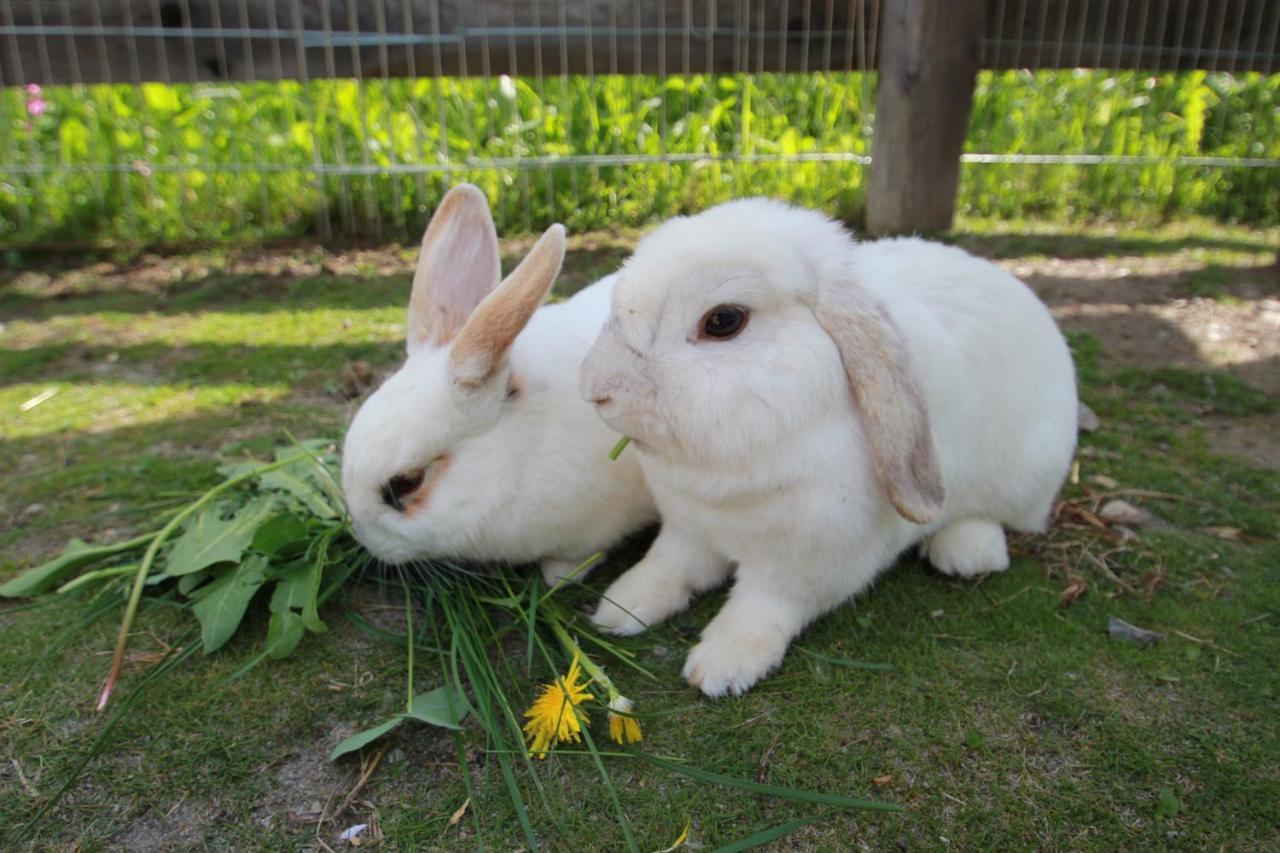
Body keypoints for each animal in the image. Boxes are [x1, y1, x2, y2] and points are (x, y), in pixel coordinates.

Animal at [586, 199, 1075, 696]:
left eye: (722, 321)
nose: (596, 389)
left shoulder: (803, 565)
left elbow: (759, 609)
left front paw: (723, 666)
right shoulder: (688, 530)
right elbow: (669, 566)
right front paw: (619, 609)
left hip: (1025, 477)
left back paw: (966, 552)